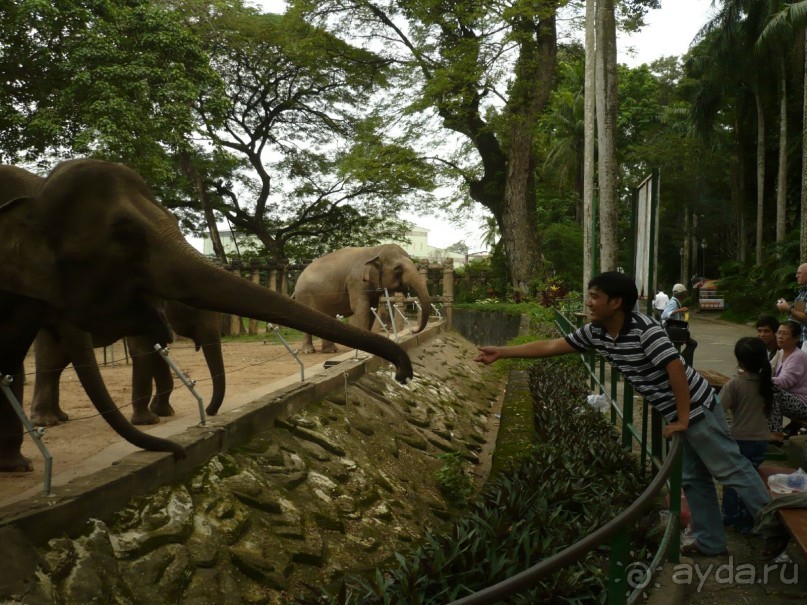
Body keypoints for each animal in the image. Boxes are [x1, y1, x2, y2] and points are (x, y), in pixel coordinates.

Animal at [31, 300, 226, 424]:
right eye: (191, 307)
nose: (209, 411)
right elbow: (142, 352)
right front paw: (149, 421)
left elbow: (158, 354)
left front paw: (164, 412)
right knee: (50, 363)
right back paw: (46, 421)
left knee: (57, 366)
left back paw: (61, 417)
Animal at [290, 242, 430, 352]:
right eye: (398, 269)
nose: (413, 330)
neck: (375, 250)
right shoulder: (356, 281)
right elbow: (361, 307)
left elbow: (372, 308)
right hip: (304, 295)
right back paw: (309, 351)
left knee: (327, 316)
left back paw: (331, 351)